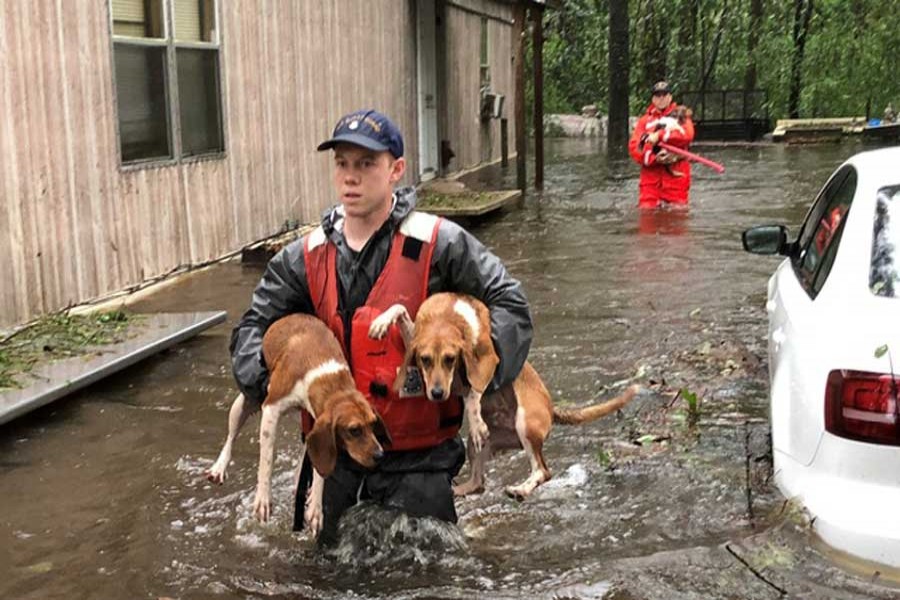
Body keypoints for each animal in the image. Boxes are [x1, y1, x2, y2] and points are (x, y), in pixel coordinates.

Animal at [206, 314, 388, 536]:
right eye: (354, 430)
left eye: (373, 424)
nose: (380, 455)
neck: (326, 377)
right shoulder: (271, 409)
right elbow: (267, 460)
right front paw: (263, 499)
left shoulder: (317, 423)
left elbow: (320, 467)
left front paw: (316, 506)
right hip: (244, 403)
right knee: (231, 437)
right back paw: (219, 466)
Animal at [368, 292, 640, 500]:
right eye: (424, 360)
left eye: (450, 359)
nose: (436, 394)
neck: (448, 318)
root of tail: (551, 408)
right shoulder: (415, 338)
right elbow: (400, 309)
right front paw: (382, 321)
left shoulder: (490, 363)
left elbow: (473, 393)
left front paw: (476, 417)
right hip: (476, 446)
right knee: (478, 482)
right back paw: (459, 489)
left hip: (526, 425)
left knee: (542, 471)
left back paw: (520, 489)